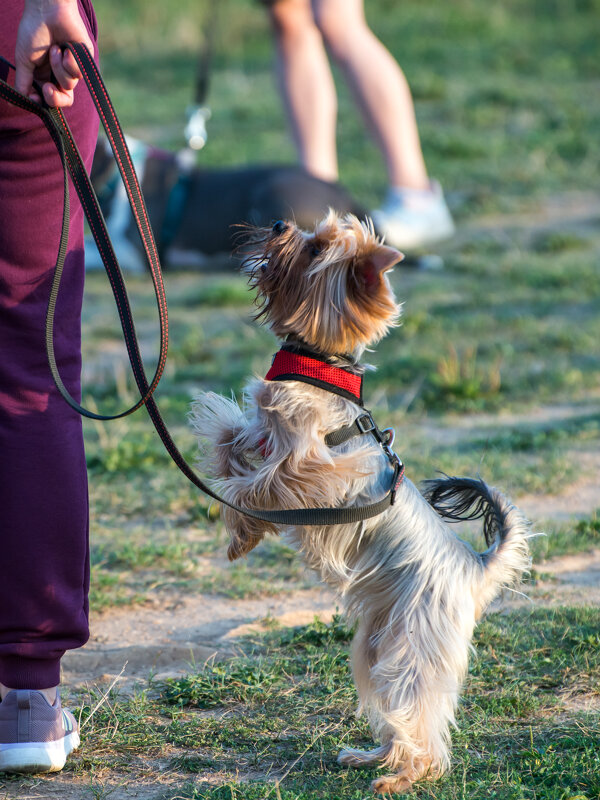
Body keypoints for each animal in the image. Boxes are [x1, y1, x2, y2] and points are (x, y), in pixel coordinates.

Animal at [190, 211, 532, 792]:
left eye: (314, 250)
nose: (279, 223)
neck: (319, 364)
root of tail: (474, 566)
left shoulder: (313, 468)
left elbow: (253, 486)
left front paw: (239, 521)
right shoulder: (264, 436)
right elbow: (230, 440)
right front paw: (239, 529)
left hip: (412, 642)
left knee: (418, 707)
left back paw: (407, 775)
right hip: (377, 642)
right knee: (390, 703)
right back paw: (375, 757)